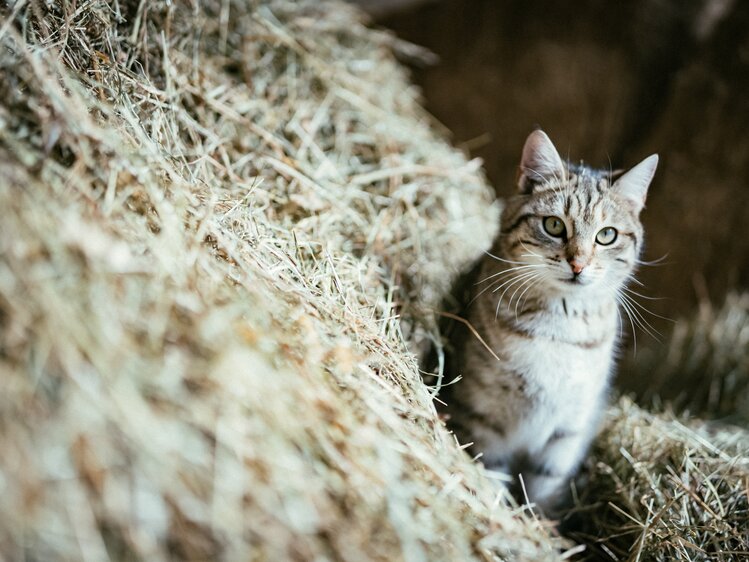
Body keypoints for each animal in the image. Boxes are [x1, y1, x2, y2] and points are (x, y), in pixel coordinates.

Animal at [442, 128, 656, 512]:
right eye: (554, 225)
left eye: (607, 235)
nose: (578, 264)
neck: (560, 324)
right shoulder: (481, 417)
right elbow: (492, 473)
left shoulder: (569, 429)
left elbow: (545, 486)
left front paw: (540, 521)